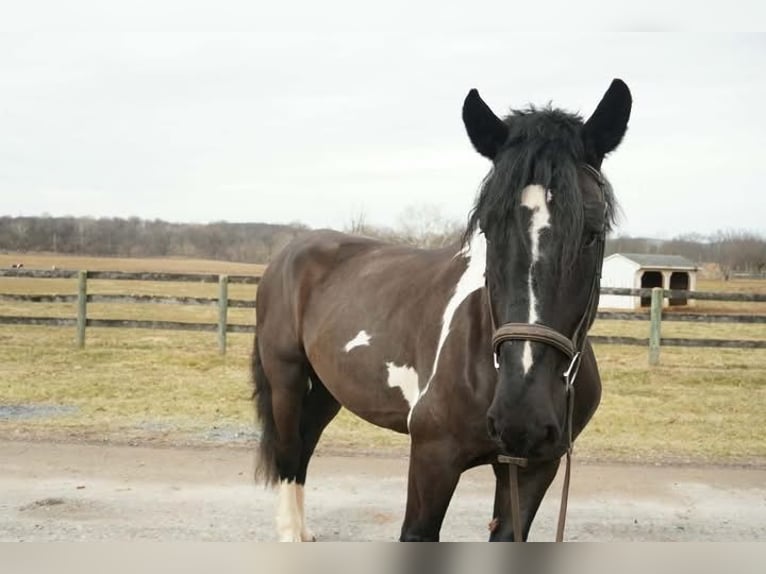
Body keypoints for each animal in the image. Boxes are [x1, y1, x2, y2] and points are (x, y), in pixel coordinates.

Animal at [252, 79, 631, 541]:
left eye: (592, 232)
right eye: (488, 227)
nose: (520, 416)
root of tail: (290, 251)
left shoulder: (535, 468)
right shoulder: (433, 459)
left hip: (327, 387)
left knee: (305, 445)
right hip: (286, 377)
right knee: (289, 451)